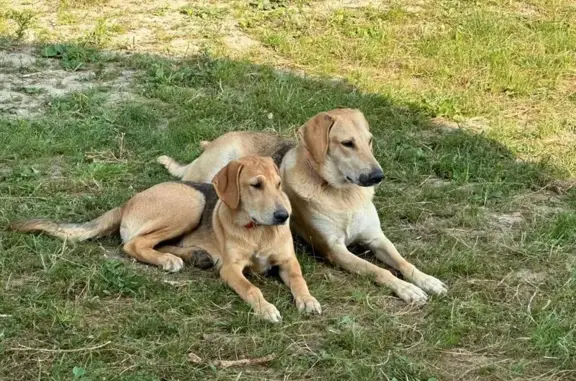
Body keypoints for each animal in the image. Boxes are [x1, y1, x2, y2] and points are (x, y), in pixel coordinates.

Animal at [11, 155, 322, 320]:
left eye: (279, 184)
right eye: (255, 185)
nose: (283, 216)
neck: (257, 231)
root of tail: (128, 201)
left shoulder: (288, 261)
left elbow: (299, 280)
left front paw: (307, 300)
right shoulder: (231, 269)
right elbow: (251, 288)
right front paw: (266, 308)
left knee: (160, 243)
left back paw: (193, 256)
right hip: (191, 203)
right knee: (133, 243)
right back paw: (168, 261)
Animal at [159, 108, 450, 304]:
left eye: (369, 140)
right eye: (347, 143)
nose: (378, 175)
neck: (342, 195)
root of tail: (211, 145)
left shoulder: (376, 238)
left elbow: (403, 262)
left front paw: (426, 280)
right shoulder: (334, 249)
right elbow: (379, 270)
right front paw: (406, 289)